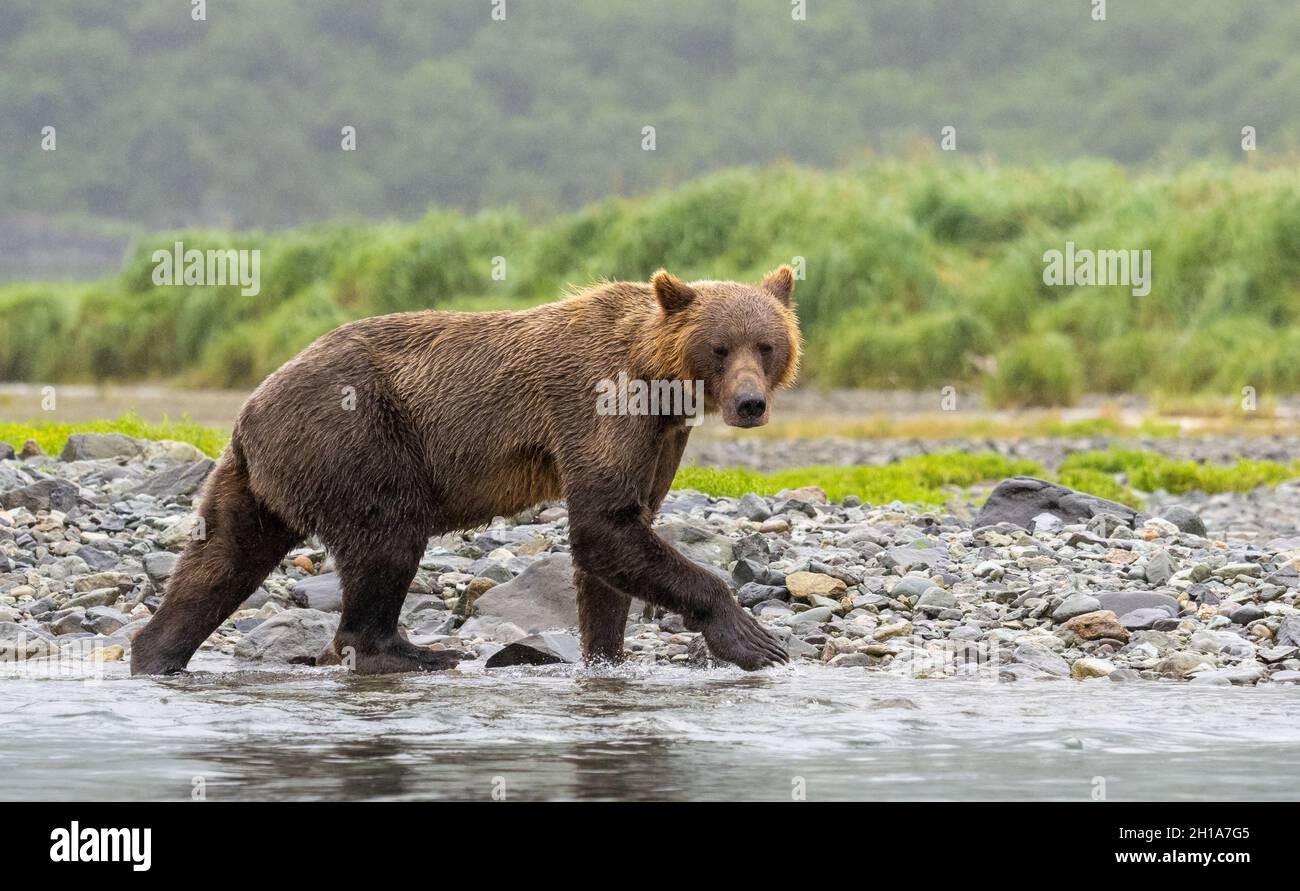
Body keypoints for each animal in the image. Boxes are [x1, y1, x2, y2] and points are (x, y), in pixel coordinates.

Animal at [134, 264, 800, 676]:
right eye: (720, 346)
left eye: (766, 345)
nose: (749, 403)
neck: (660, 382)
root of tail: (251, 406)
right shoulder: (600, 406)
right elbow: (603, 524)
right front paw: (754, 639)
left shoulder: (662, 438)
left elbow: (617, 539)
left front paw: (608, 654)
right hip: (357, 437)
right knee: (388, 537)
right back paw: (407, 651)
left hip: (259, 475)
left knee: (222, 555)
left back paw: (157, 650)